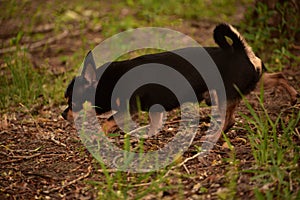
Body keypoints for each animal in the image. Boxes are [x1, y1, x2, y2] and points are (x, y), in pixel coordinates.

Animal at [62, 23, 298, 135]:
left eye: (71, 100)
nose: (63, 114)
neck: (107, 80)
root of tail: (239, 50)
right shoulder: (154, 110)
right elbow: (153, 123)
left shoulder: (128, 109)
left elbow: (108, 122)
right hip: (253, 82)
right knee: (277, 76)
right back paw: (293, 95)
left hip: (223, 93)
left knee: (228, 117)